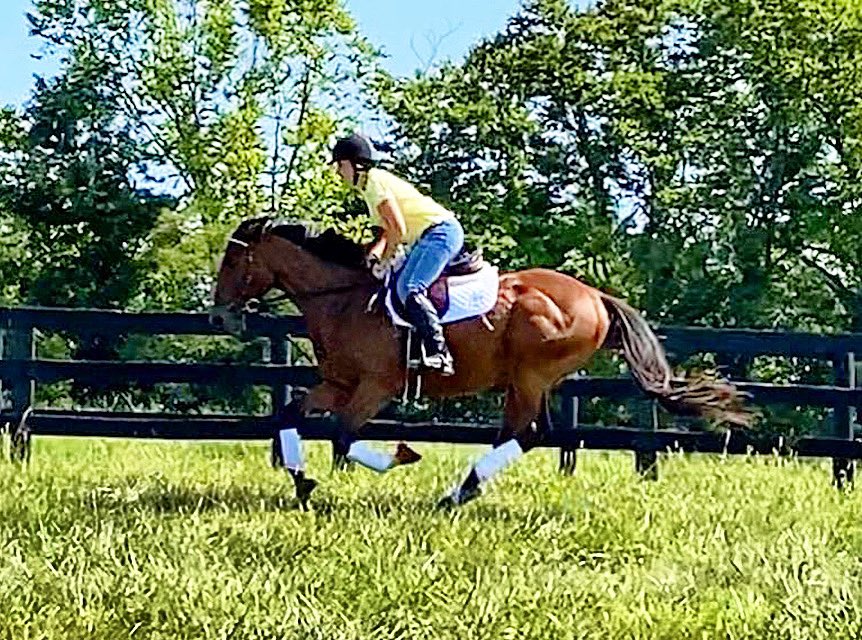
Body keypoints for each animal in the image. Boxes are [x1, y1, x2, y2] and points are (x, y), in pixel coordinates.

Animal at [209, 217, 752, 508]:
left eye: (234, 261)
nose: (219, 315)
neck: (344, 299)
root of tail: (596, 296)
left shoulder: (375, 387)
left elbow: (343, 435)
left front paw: (400, 455)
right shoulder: (338, 384)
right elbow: (290, 415)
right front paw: (302, 482)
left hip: (531, 375)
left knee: (526, 433)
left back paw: (459, 493)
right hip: (532, 381)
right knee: (531, 434)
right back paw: (464, 490)